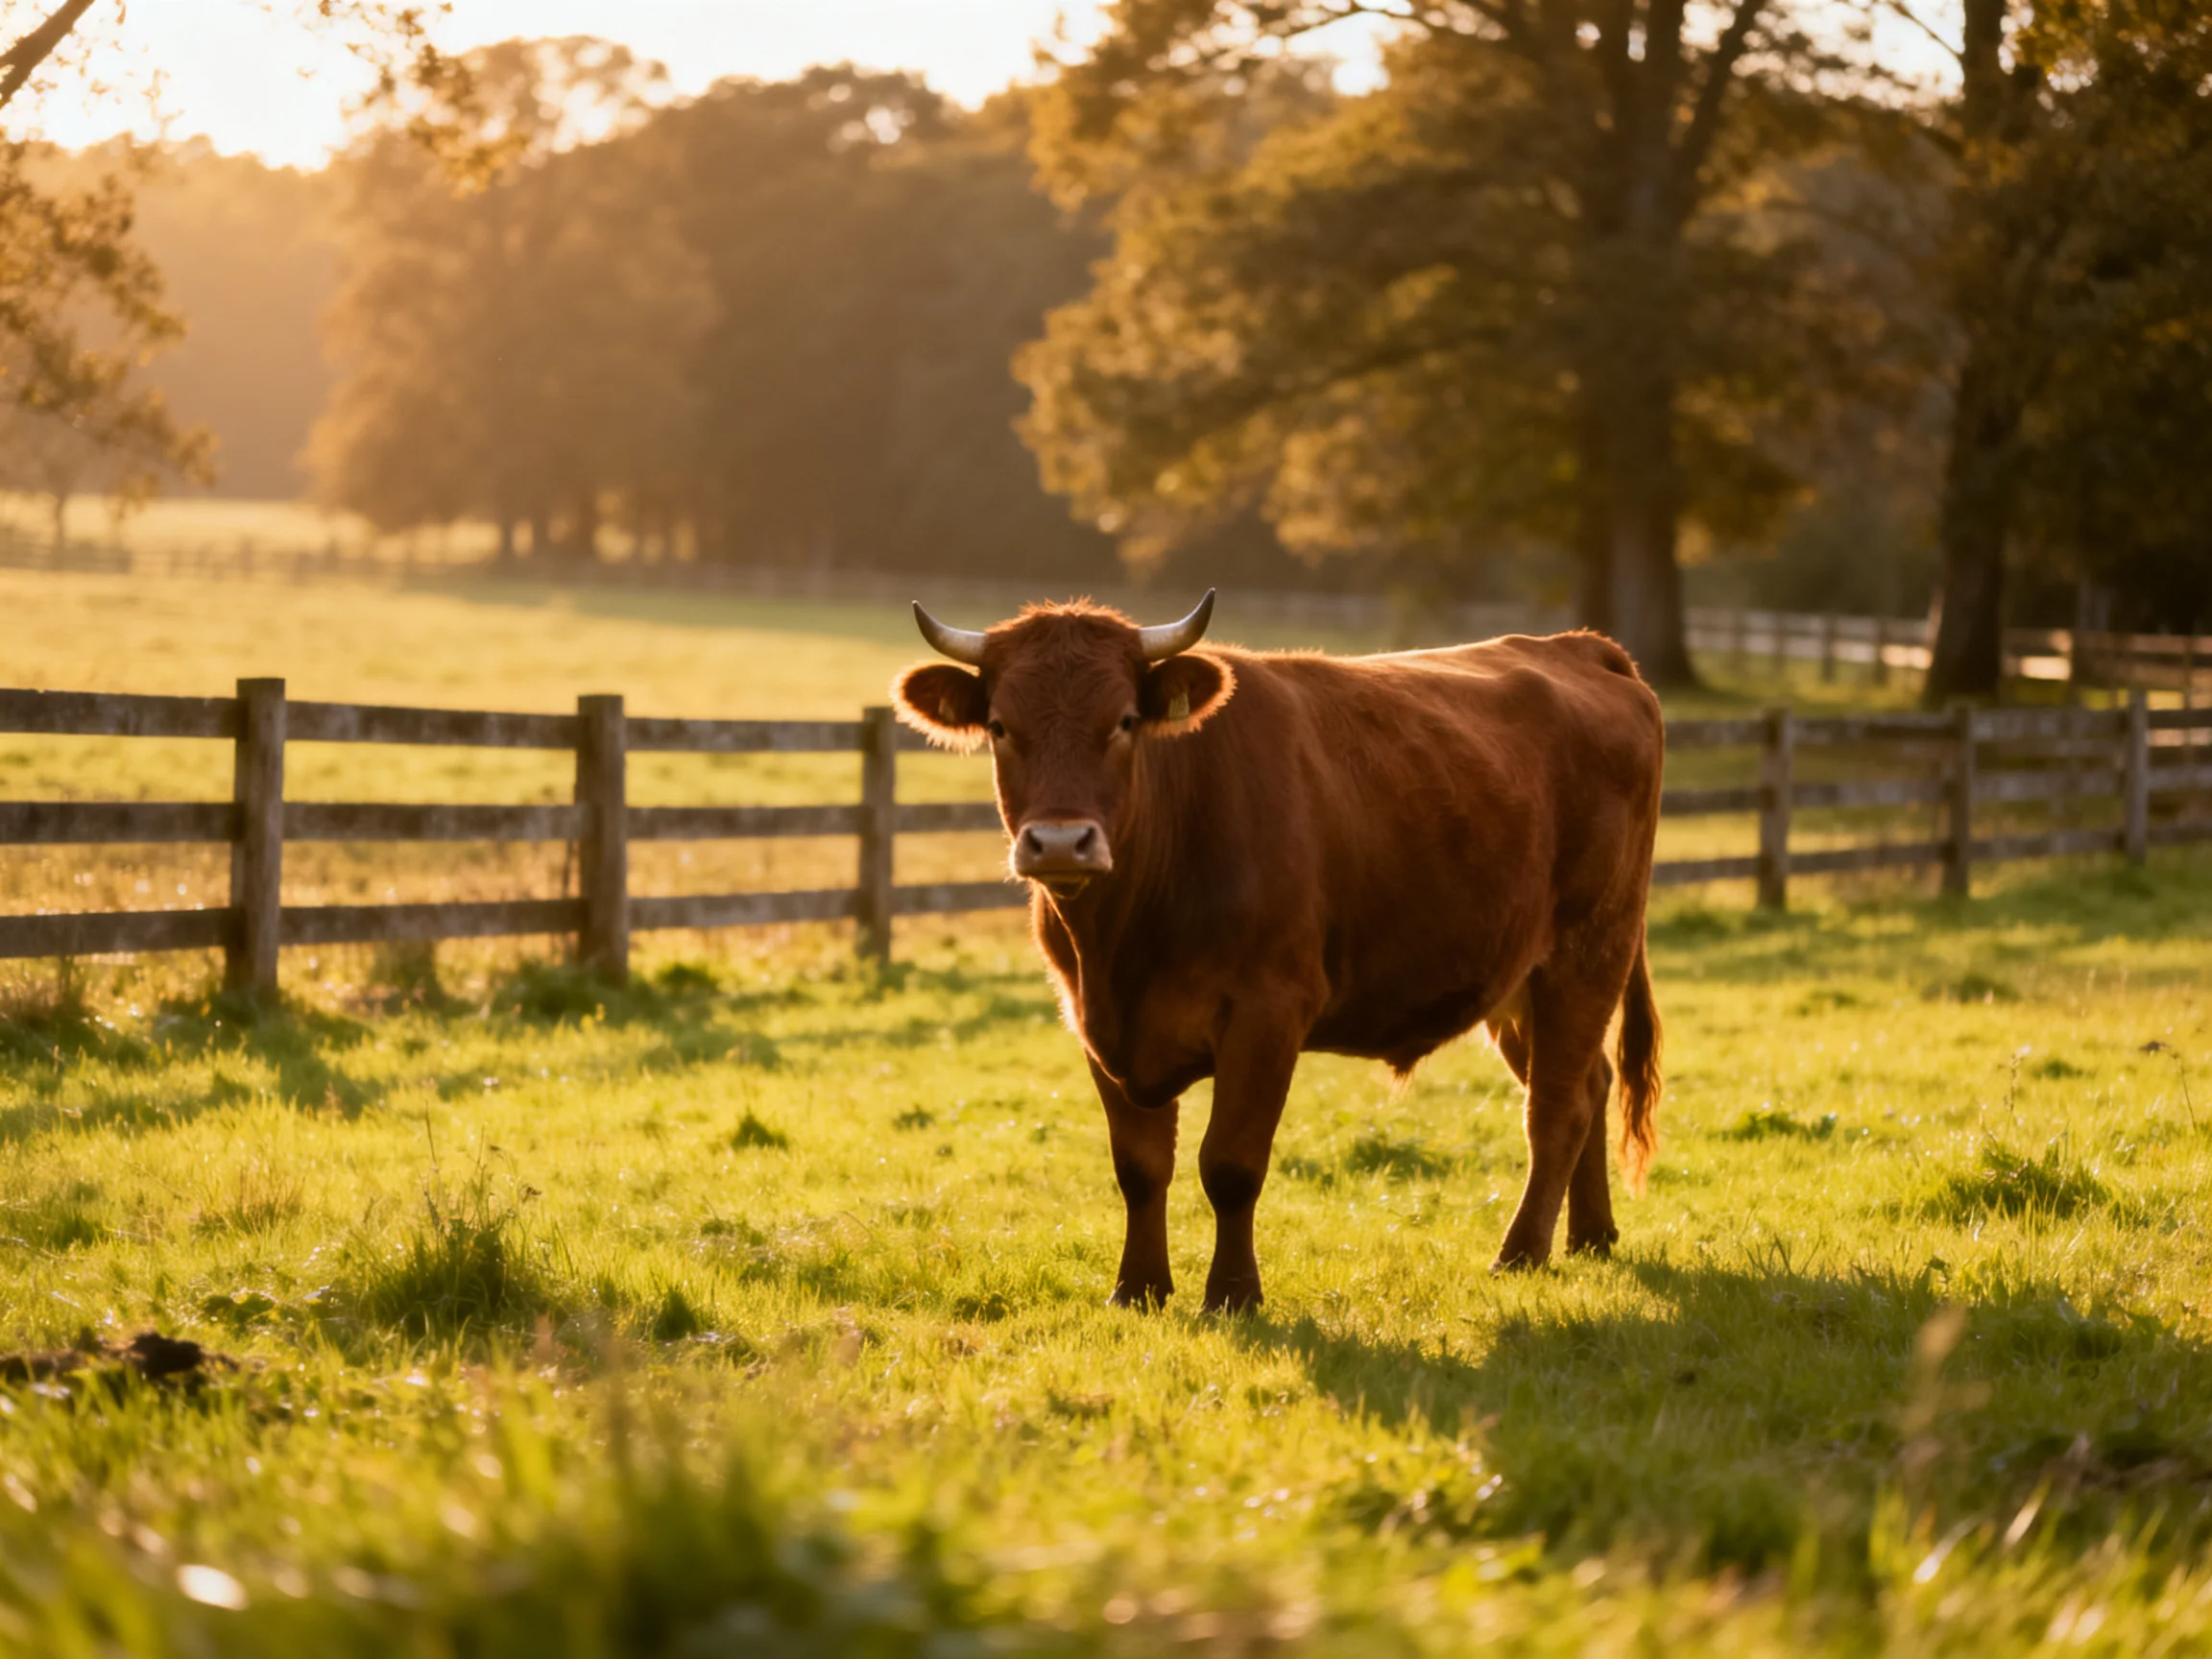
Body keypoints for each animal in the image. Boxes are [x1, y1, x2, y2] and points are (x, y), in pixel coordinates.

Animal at [892, 591, 1664, 1311]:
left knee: (1556, 1107)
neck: (1122, 941)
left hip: (1588, 949)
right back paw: (1591, 1235)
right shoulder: (1093, 1020)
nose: (1059, 843)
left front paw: (1233, 1294)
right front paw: (1138, 1288)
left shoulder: (1268, 1010)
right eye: (1000, 726)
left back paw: (1522, 1252)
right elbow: (1139, 1167)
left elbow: (1230, 1164)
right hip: (1517, 981)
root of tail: (1577, 647)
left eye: (1124, 721)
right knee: (1589, 1083)